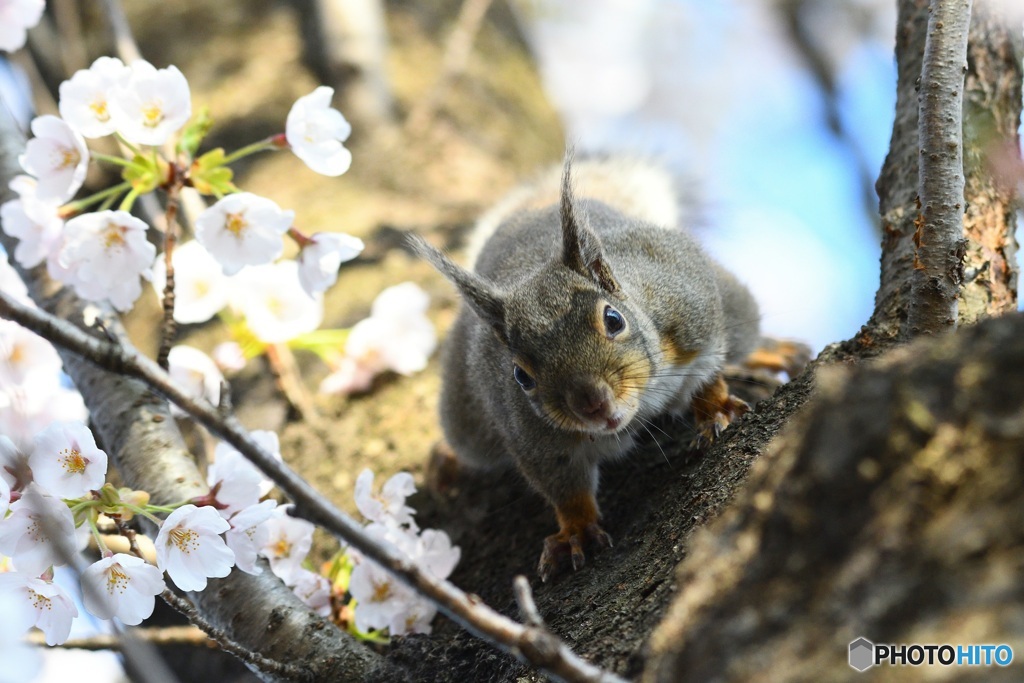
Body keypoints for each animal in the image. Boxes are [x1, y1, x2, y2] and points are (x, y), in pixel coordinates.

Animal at [411, 152, 765, 581]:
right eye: (520, 376)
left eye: (613, 320)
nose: (593, 404)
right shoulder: (531, 437)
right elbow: (564, 486)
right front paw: (575, 531)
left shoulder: (692, 311)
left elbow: (706, 373)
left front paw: (714, 407)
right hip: (467, 418)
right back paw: (445, 457)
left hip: (735, 307)